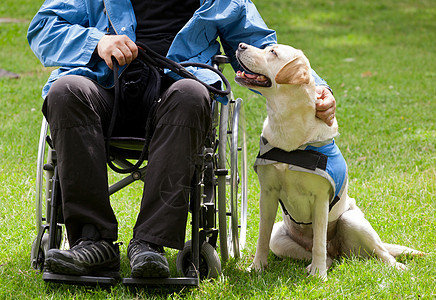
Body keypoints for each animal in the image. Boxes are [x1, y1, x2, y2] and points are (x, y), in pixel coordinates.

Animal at [237, 43, 424, 280]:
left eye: (273, 53)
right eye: (266, 48)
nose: (241, 45)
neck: (288, 127)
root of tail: (339, 249)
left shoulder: (320, 199)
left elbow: (319, 242)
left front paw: (319, 275)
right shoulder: (268, 194)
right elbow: (262, 236)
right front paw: (257, 267)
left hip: (351, 220)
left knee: (380, 252)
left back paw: (396, 267)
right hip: (279, 238)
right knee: (327, 256)